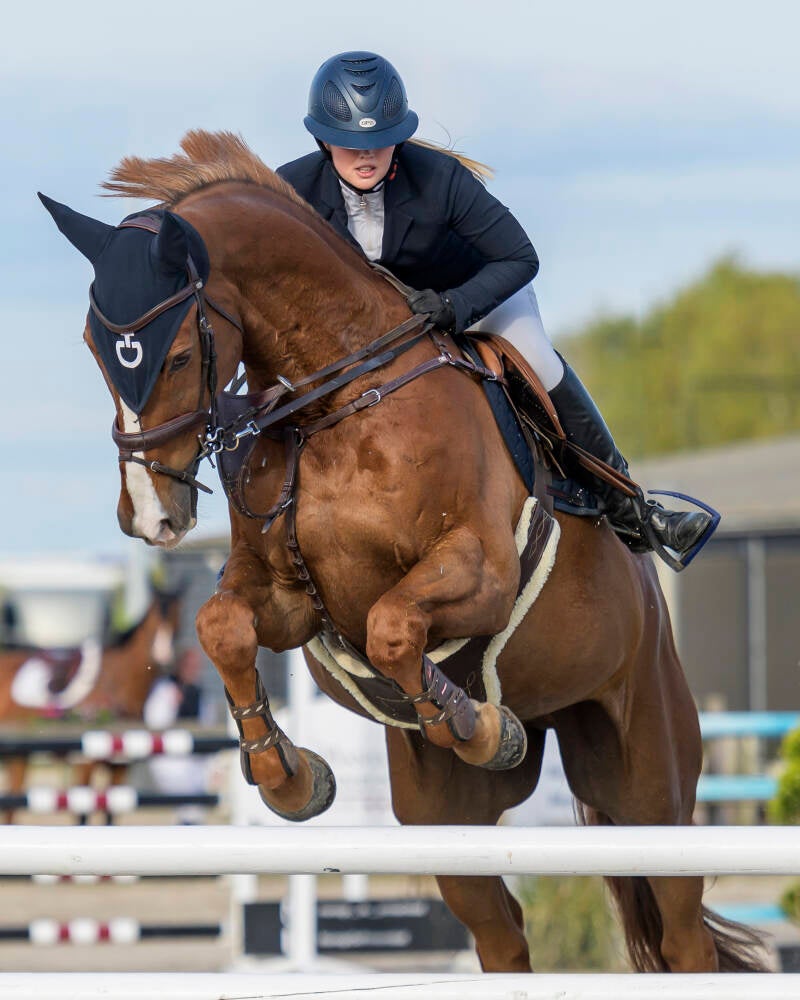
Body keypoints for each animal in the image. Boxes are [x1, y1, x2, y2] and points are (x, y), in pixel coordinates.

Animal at [0, 586, 182, 822]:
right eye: (152, 619)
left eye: (177, 616)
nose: (164, 659)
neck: (117, 682)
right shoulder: (85, 762)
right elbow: (82, 813)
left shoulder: (120, 765)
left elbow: (111, 813)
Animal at [39, 130, 766, 973]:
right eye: (95, 347)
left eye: (180, 356)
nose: (151, 516)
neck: (341, 398)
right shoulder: (290, 598)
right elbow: (222, 628)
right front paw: (287, 776)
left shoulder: (482, 570)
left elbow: (393, 626)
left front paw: (480, 726)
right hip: (447, 820)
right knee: (499, 930)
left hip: (650, 781)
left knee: (683, 931)